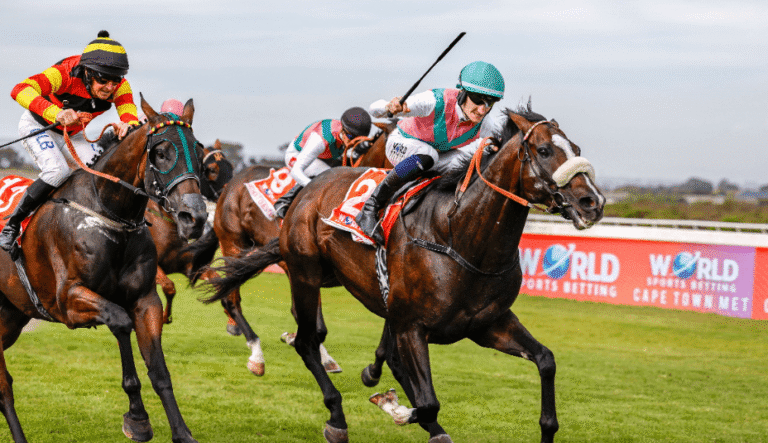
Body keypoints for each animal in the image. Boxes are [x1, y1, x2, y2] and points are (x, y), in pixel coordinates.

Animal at [0, 96, 208, 443]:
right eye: (161, 152)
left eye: (199, 153)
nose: (195, 217)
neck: (107, 211)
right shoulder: (68, 300)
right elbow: (120, 322)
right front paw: (137, 417)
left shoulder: (145, 300)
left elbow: (159, 371)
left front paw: (181, 433)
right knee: (4, 389)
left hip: (11, 317)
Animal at [147, 139, 234, 324]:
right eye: (212, 169)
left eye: (230, 165)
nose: (229, 194)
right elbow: (169, 286)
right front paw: (165, 316)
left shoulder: (189, 265)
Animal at [183, 122, 394, 376]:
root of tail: (229, 189)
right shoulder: (301, 269)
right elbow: (314, 325)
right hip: (234, 243)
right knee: (231, 299)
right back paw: (256, 354)